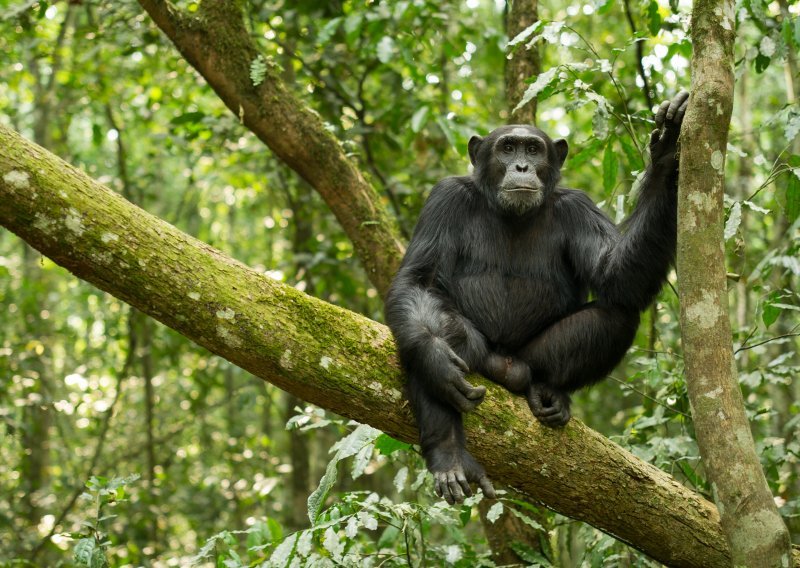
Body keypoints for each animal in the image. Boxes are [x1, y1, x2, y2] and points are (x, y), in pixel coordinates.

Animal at [384, 91, 692, 504]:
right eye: (507, 147)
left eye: (533, 149)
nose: (521, 165)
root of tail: (505, 364)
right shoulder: (445, 198)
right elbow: (419, 281)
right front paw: (436, 361)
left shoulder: (578, 207)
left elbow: (617, 277)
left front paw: (667, 149)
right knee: (439, 329)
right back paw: (448, 453)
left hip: (529, 360)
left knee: (617, 314)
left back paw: (549, 390)